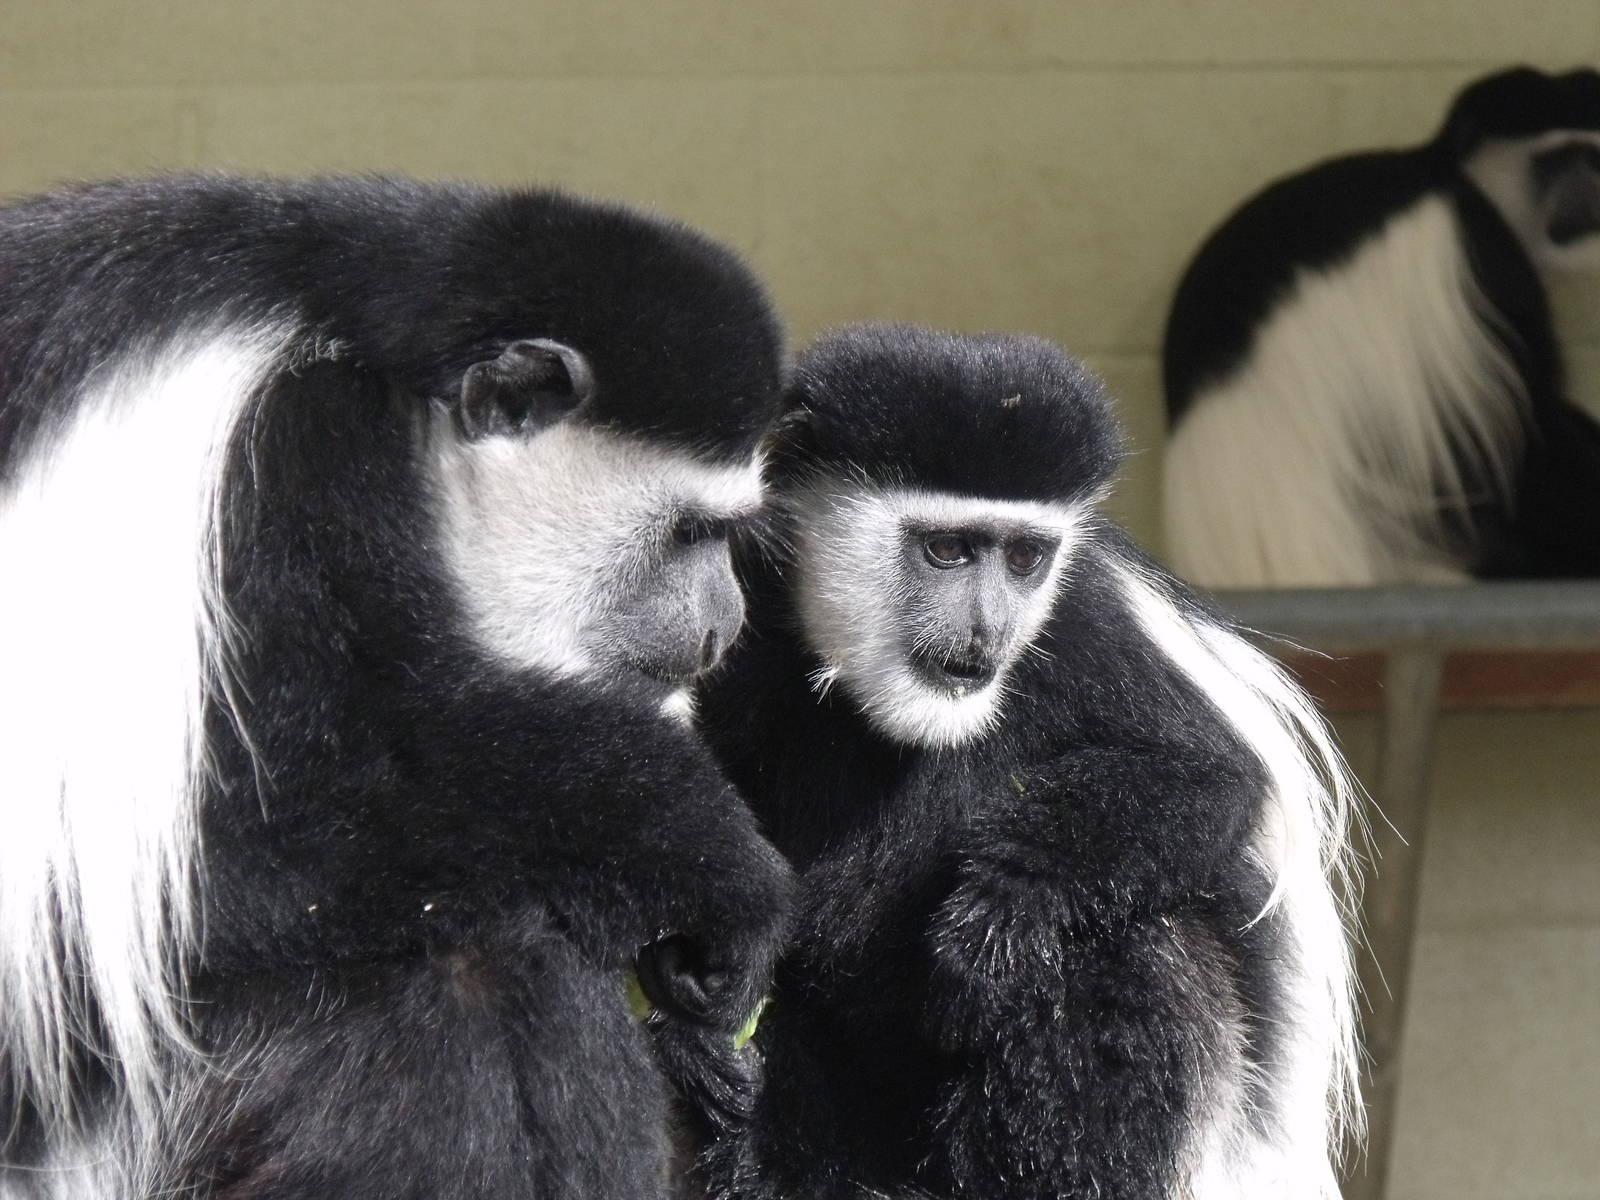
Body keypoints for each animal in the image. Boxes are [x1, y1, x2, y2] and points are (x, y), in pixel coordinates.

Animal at [0, 174, 792, 1198]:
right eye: (691, 534)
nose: (722, 625)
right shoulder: (279, 465)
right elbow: (243, 843)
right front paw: (709, 858)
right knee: (462, 955)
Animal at [690, 324, 1359, 1199]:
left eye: (1024, 560)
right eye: (946, 550)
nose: (986, 631)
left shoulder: (1089, 623)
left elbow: (1211, 781)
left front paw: (1000, 910)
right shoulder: (742, 608)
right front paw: (726, 966)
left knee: (1141, 949)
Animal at [1163, 65, 1600, 587]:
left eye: (1597, 160)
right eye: (1558, 158)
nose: (1588, 201)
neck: (1445, 171)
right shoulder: (1482, 244)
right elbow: (1523, 430)